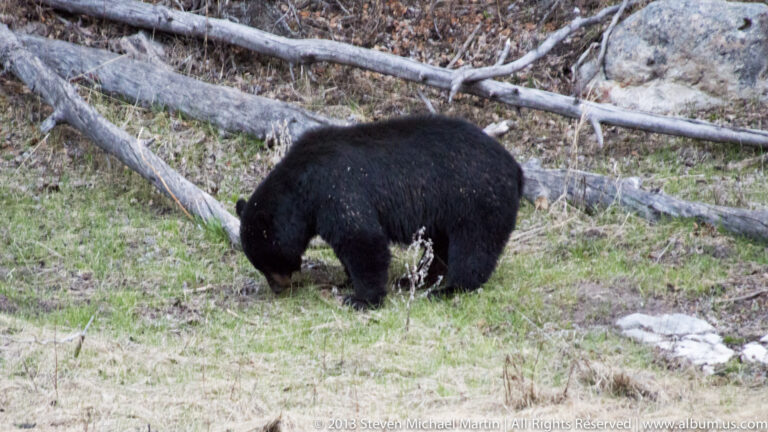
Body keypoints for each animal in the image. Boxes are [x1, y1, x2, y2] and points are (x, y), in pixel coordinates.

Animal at [236, 115, 524, 310]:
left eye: (267, 261)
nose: (278, 288)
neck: (300, 186)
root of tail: (516, 169)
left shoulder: (336, 188)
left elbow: (362, 239)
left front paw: (361, 299)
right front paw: (348, 281)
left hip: (476, 199)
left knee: (473, 247)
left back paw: (450, 288)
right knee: (441, 246)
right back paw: (413, 279)